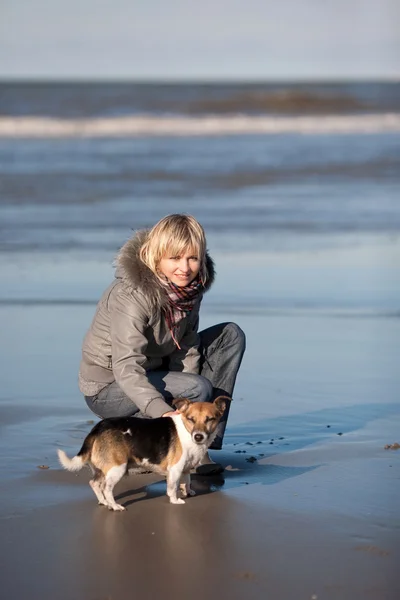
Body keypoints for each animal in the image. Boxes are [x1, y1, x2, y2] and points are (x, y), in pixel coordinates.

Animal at [57, 398, 230, 510]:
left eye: (210, 419)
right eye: (191, 419)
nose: (198, 436)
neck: (187, 433)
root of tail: (98, 427)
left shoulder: (185, 468)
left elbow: (186, 481)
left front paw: (188, 492)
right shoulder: (175, 469)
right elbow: (172, 487)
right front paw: (175, 500)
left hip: (103, 468)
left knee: (94, 483)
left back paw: (104, 502)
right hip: (117, 468)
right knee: (106, 488)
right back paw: (114, 505)